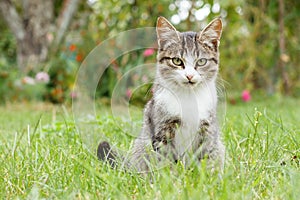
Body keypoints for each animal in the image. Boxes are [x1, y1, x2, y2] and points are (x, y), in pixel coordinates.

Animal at [98, 16, 225, 173]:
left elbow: (206, 155)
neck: (188, 98)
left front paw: (205, 175)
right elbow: (166, 160)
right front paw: (171, 177)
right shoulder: (162, 127)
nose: (189, 76)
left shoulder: (207, 128)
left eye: (201, 61)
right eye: (177, 61)